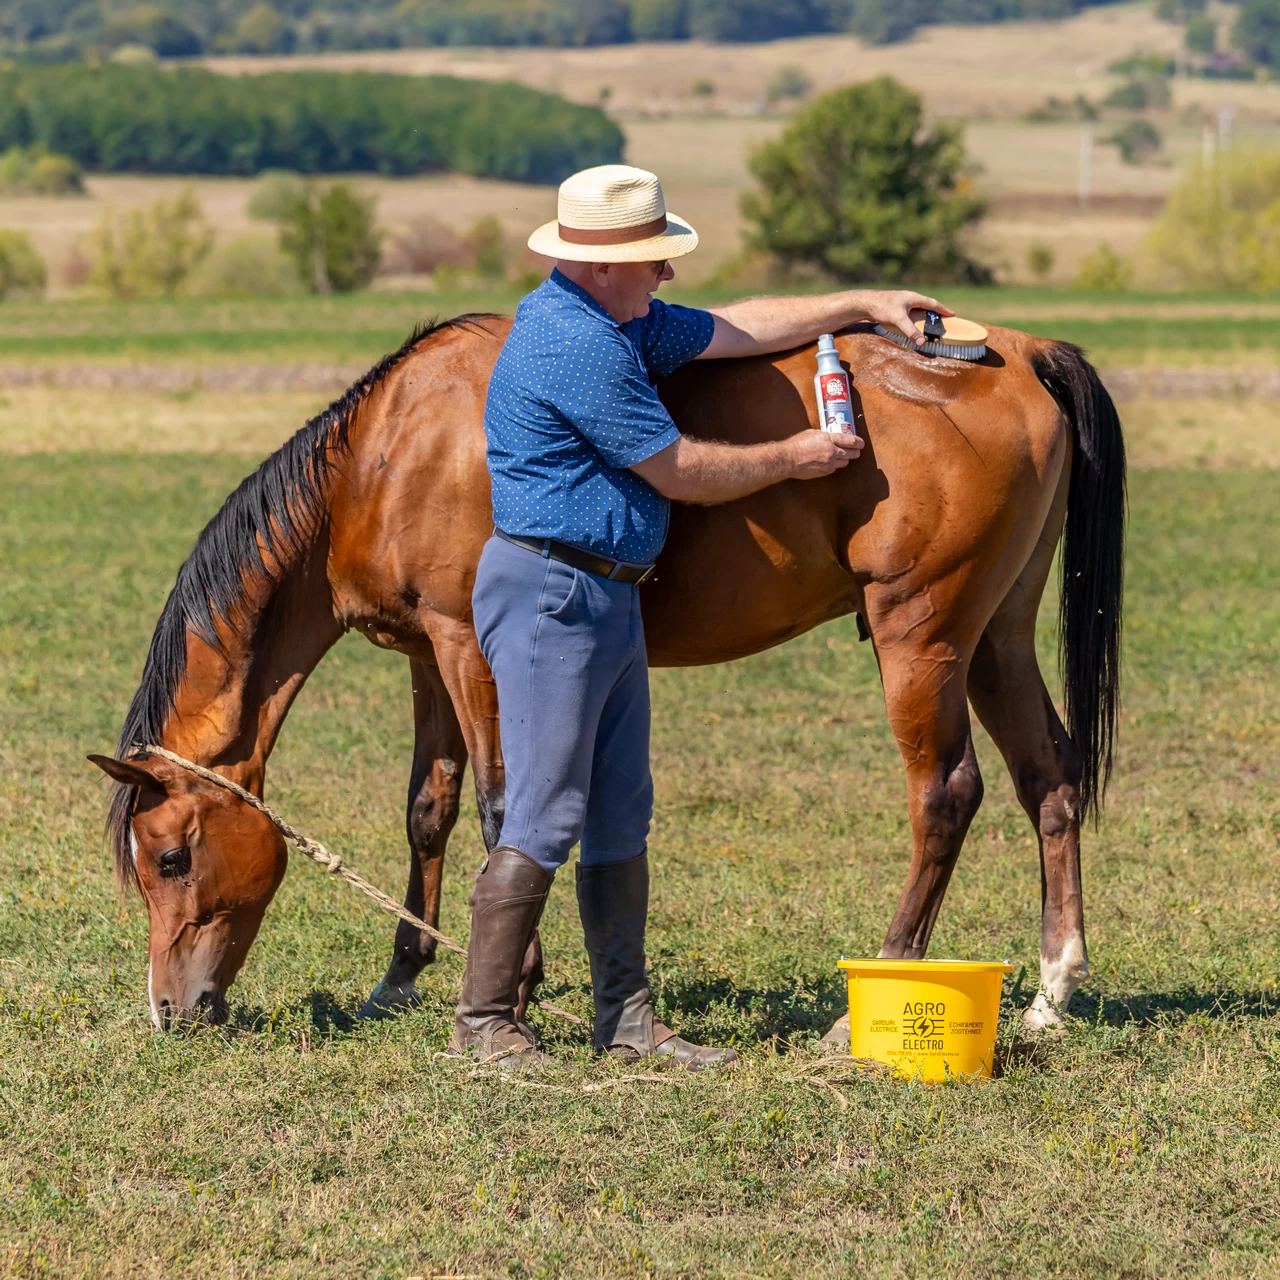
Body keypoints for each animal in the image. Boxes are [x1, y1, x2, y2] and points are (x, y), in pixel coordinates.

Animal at [89, 314, 1124, 1037]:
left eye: (172, 857)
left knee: (946, 794)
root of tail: (1016, 352)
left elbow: (503, 807)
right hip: (996, 638)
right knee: (1049, 780)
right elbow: (430, 810)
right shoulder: (427, 654)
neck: (386, 454)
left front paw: (514, 986)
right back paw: (1051, 991)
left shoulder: (469, 647)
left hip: (924, 636)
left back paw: (880, 980)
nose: (169, 1012)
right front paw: (400, 978)